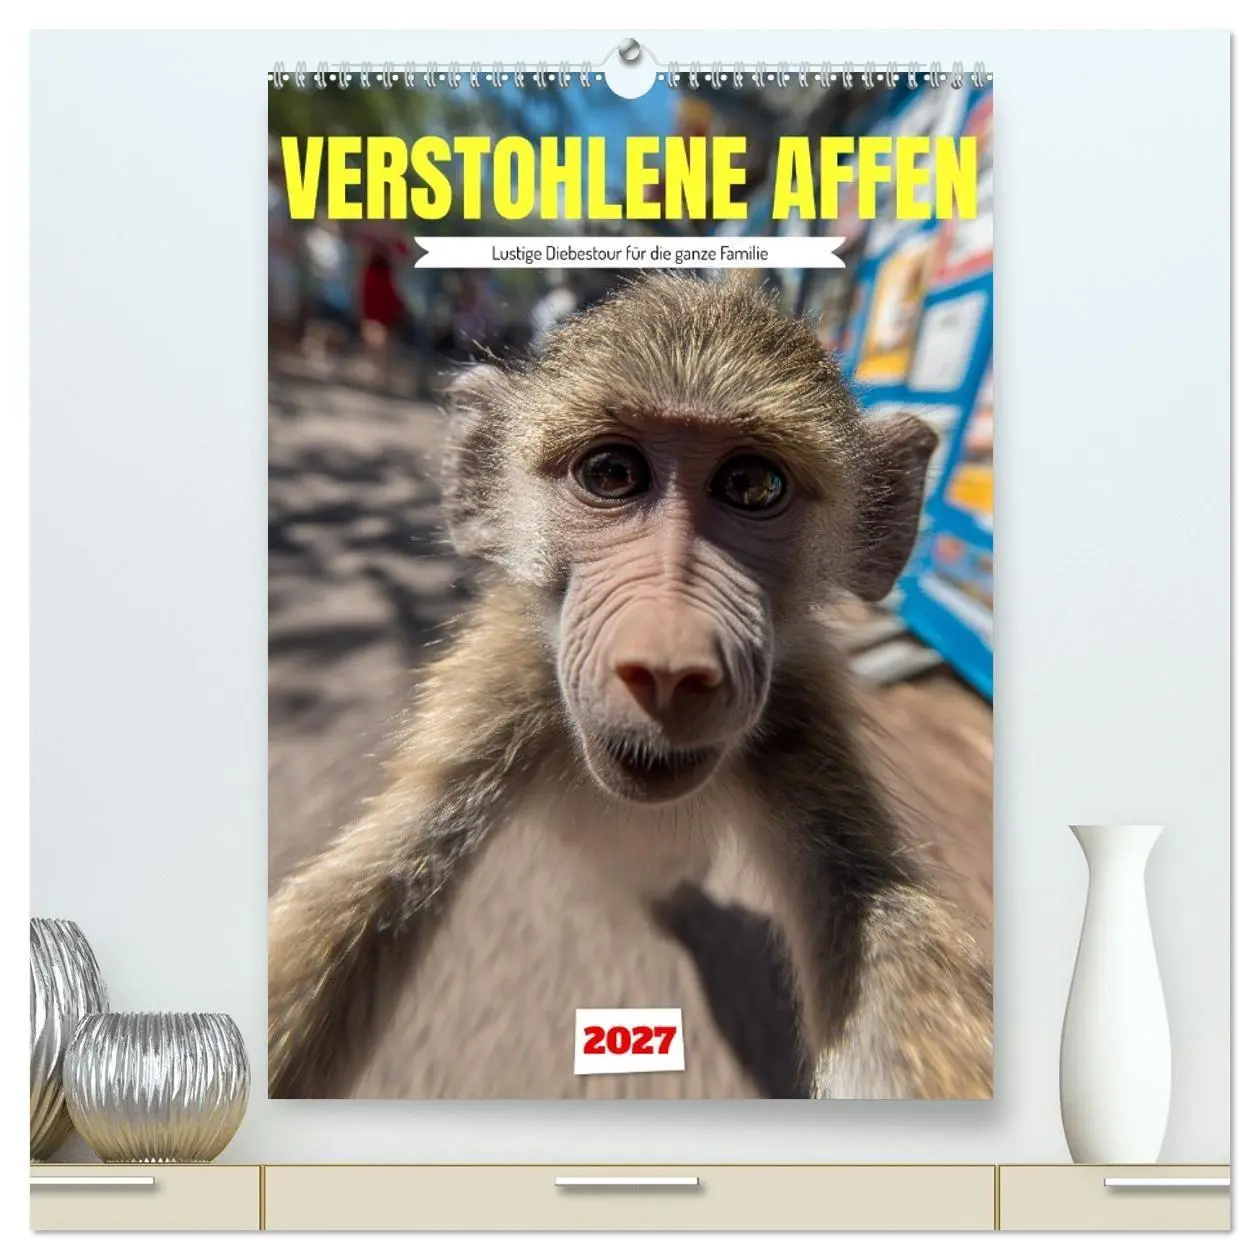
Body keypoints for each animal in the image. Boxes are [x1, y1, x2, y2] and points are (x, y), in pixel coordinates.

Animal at [268, 271, 993, 1101]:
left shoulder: (798, 718)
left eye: (753, 485)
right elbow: (385, 873)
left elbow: (874, 907)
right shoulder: (504, 686)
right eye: (611, 474)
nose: (671, 664)